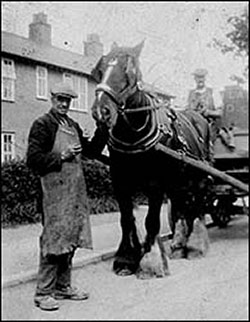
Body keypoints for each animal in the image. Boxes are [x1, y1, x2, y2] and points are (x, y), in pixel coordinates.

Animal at [91, 39, 212, 276]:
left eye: (130, 72)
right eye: (99, 70)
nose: (101, 112)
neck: (132, 135)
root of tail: (199, 117)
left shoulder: (155, 184)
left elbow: (151, 221)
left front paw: (151, 260)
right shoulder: (120, 182)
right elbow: (127, 218)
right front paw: (126, 258)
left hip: (199, 175)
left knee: (197, 204)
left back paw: (195, 245)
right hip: (178, 180)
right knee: (182, 205)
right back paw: (178, 245)